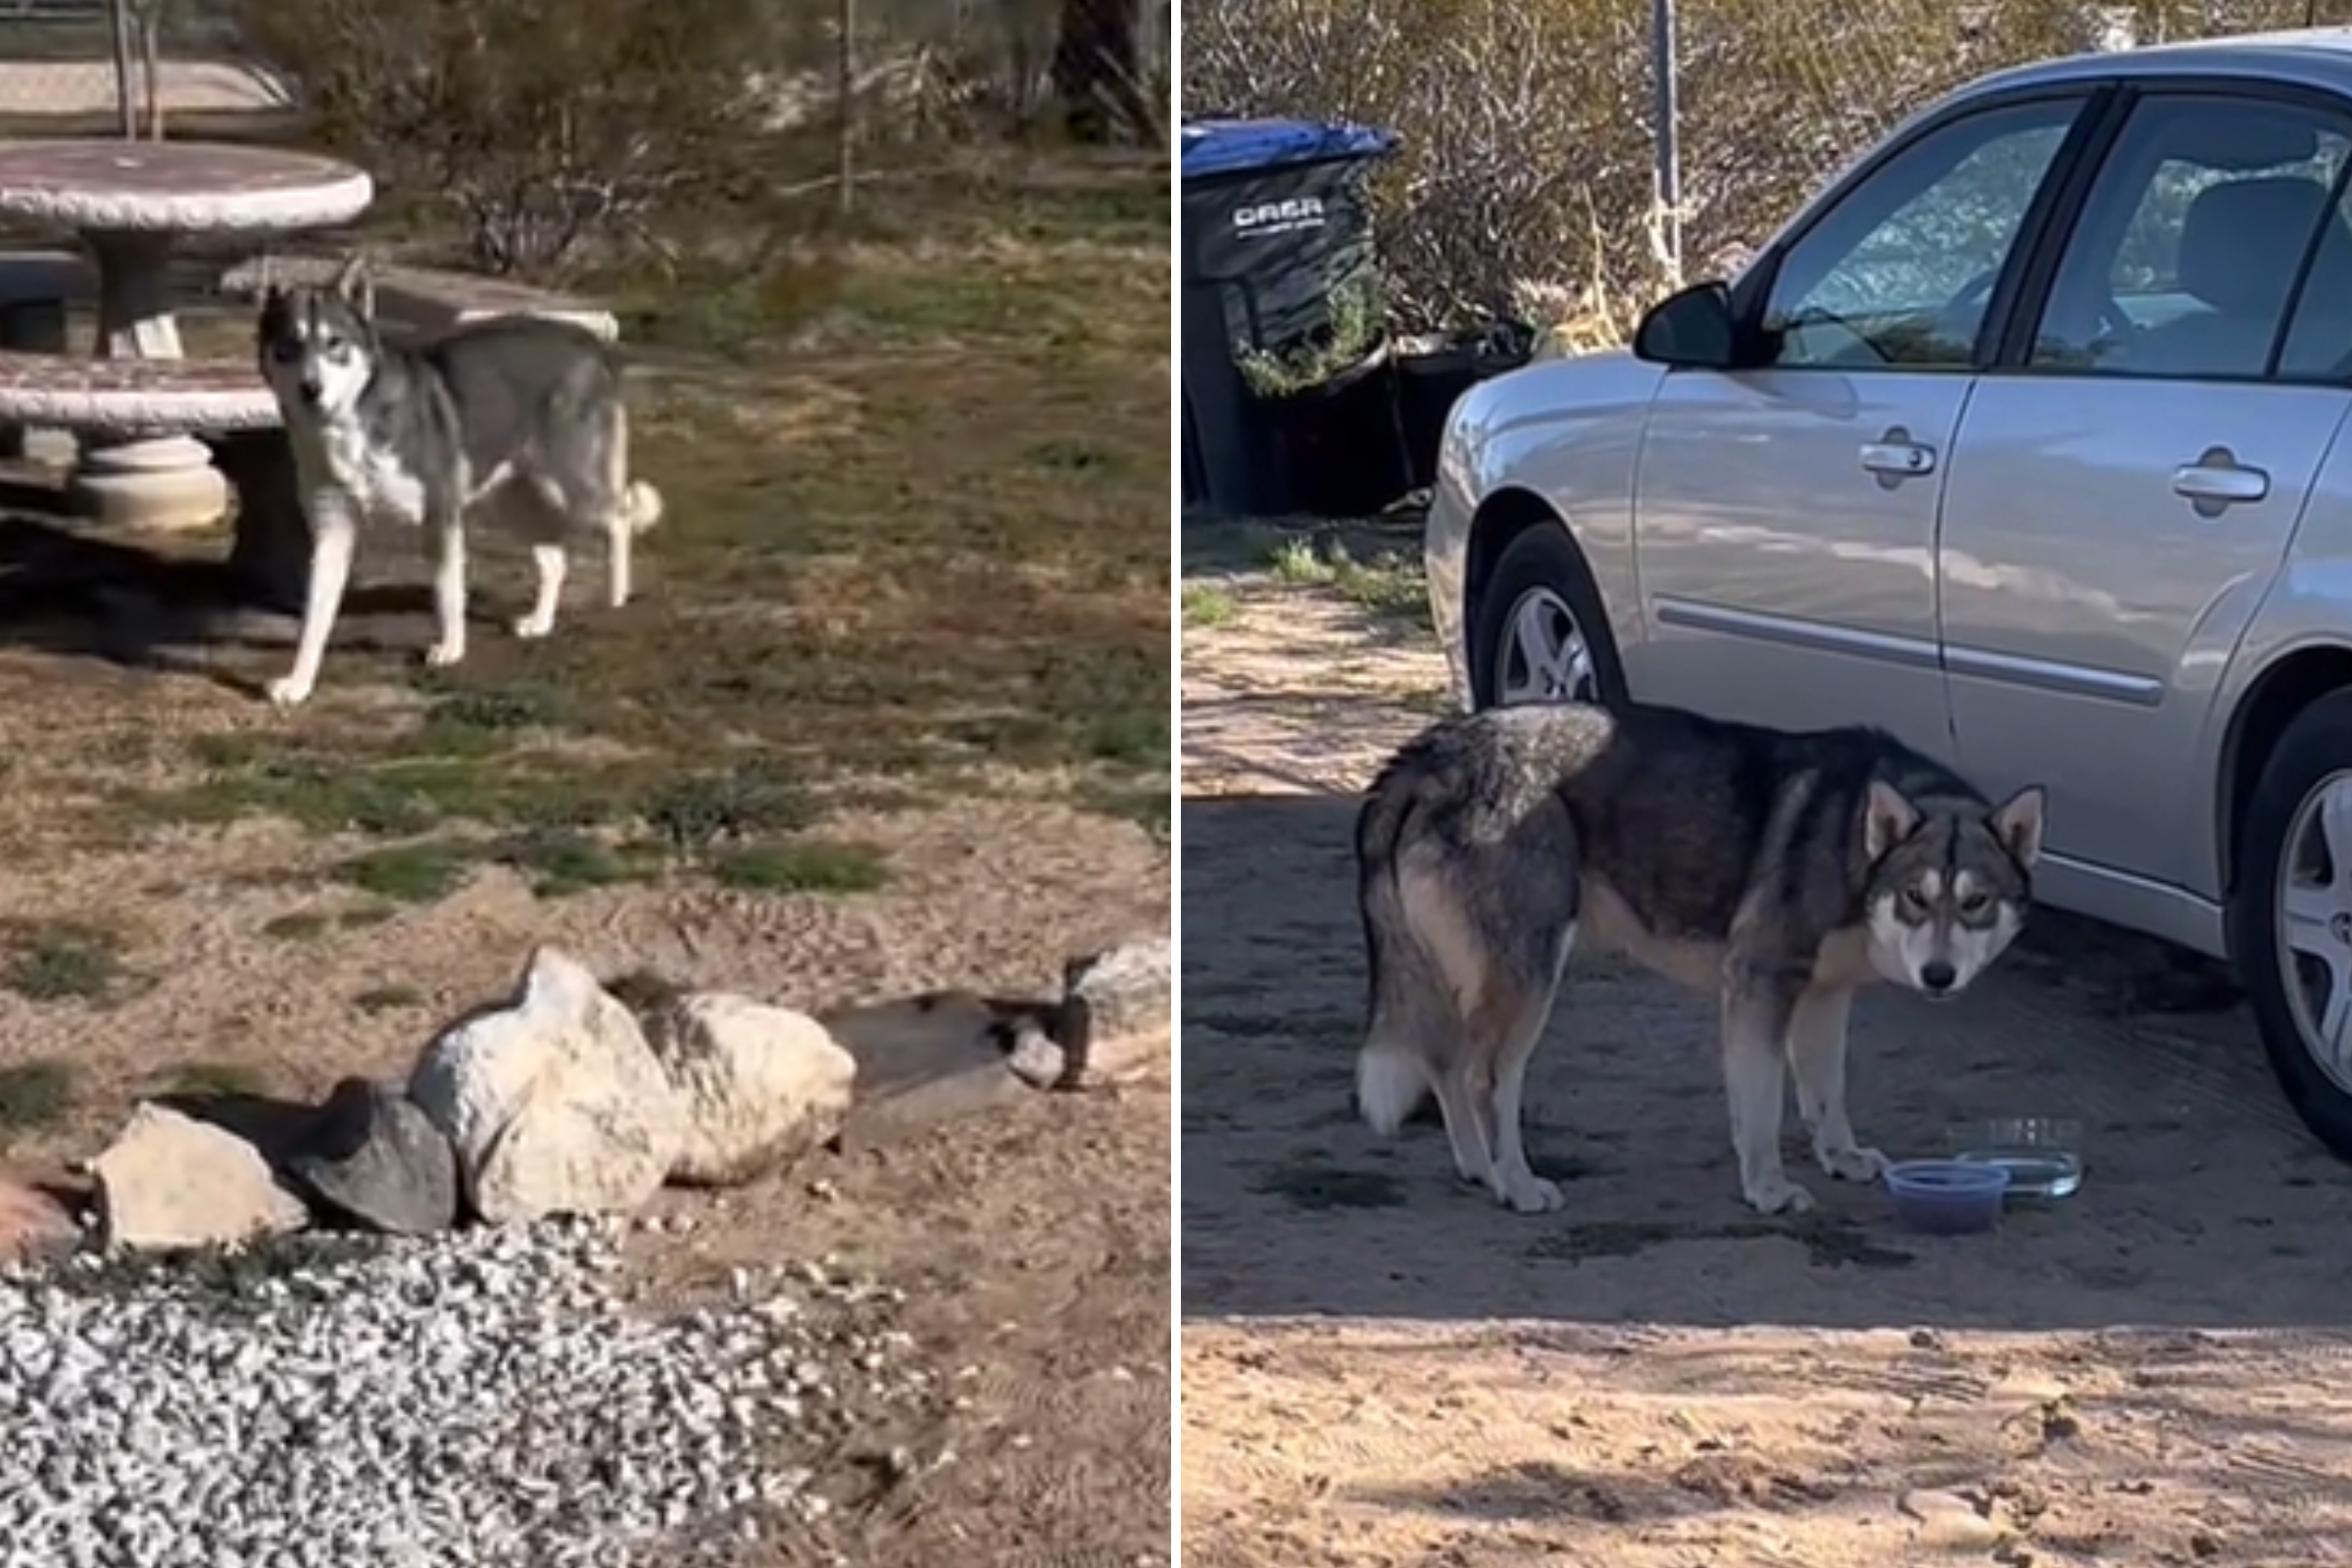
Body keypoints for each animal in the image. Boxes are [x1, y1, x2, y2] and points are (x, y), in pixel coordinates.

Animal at [252, 257, 664, 708]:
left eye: (334, 343)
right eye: (289, 346)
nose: (311, 389)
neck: (351, 425)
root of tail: (588, 341)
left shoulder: (441, 515)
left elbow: (446, 590)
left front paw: (451, 648)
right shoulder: (332, 530)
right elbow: (315, 618)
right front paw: (299, 682)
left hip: (573, 485)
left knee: (619, 518)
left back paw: (616, 598)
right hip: (513, 500)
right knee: (556, 560)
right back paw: (540, 621)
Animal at [1354, 700, 2046, 1217]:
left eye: (1976, 902)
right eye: (1915, 897)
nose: (1939, 975)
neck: (1849, 836)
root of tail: (1438, 753)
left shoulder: (1824, 998)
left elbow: (1826, 1093)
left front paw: (1840, 1157)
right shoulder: (1759, 985)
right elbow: (1761, 1107)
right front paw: (1767, 1188)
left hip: (1466, 981)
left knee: (1444, 1062)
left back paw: (1479, 1170)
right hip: (1529, 979)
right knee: (1483, 1078)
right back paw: (1515, 1183)